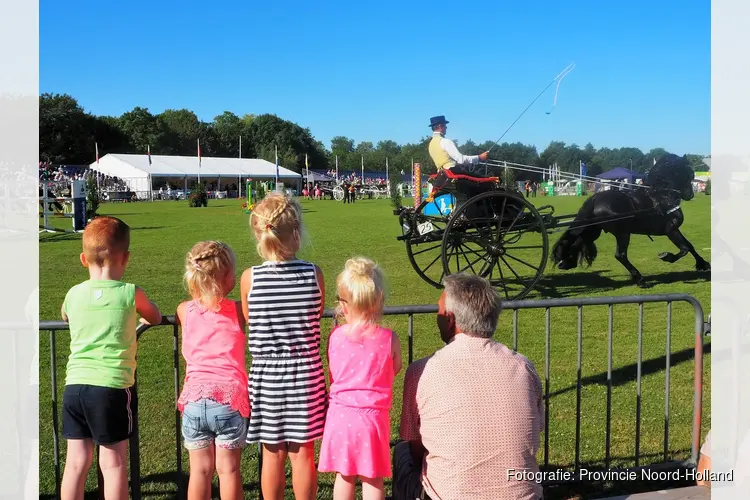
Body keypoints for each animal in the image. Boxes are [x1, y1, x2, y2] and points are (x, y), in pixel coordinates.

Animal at [552, 152, 712, 288]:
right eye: (689, 173)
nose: (690, 195)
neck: (661, 197)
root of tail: (596, 198)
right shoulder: (671, 229)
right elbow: (684, 248)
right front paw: (667, 256)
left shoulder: (673, 230)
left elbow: (689, 246)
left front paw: (703, 264)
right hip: (623, 233)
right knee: (620, 255)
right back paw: (641, 280)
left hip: (593, 231)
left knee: (576, 243)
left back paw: (566, 262)